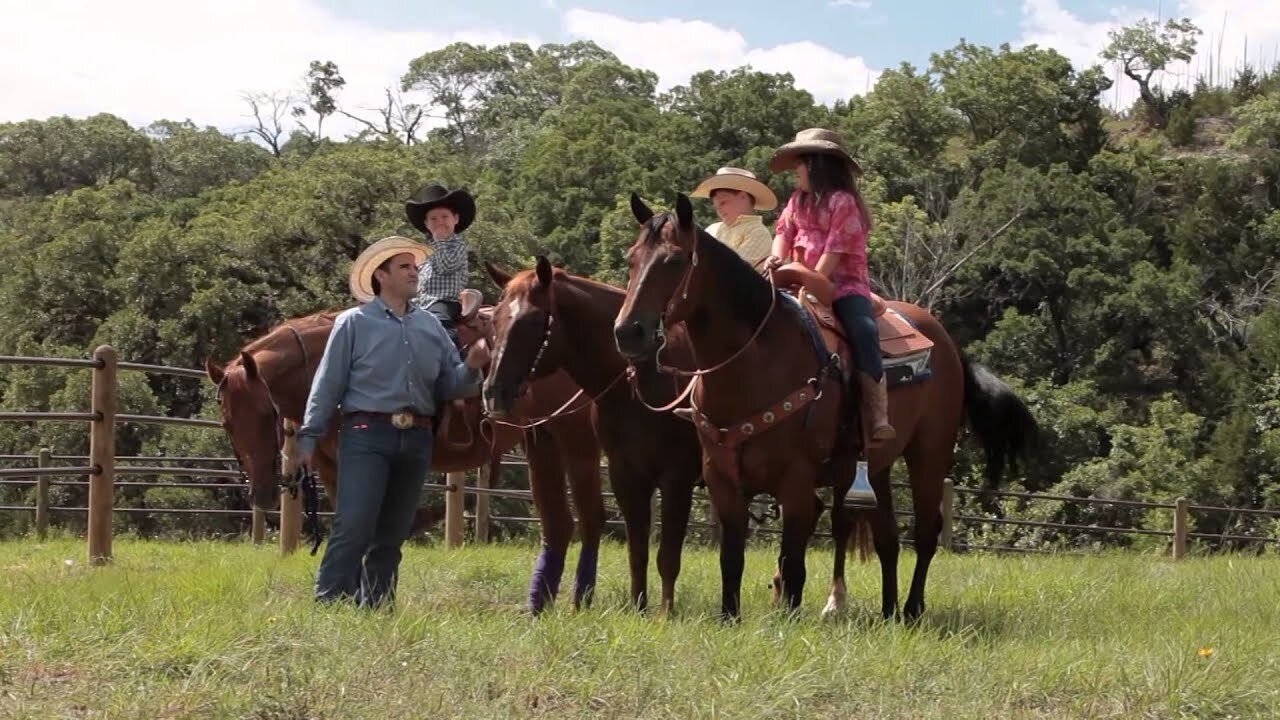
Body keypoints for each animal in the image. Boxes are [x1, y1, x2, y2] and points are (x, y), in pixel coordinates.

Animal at [204, 303, 609, 609]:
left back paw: (581, 601)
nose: (262, 494)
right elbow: (353, 526)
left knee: (591, 518)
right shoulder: (336, 469)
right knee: (559, 524)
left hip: (576, 439)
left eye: (265, 413)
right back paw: (542, 604)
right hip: (542, 440)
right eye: (227, 422)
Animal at [481, 253, 706, 609]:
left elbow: (667, 556)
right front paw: (638, 609)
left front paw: (666, 612)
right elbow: (637, 552)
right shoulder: (625, 475)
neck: (644, 378)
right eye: (495, 321)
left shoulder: (676, 479)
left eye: (533, 321)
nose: (494, 393)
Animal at [611, 193, 1039, 620]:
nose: (628, 332)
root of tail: (947, 343)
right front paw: (730, 617)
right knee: (887, 538)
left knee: (924, 533)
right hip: (877, 466)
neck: (756, 362)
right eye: (632, 257)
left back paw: (912, 610)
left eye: (675, 260)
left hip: (929, 453)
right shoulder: (722, 480)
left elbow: (793, 563)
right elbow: (731, 560)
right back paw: (888, 612)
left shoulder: (797, 481)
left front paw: (787, 617)